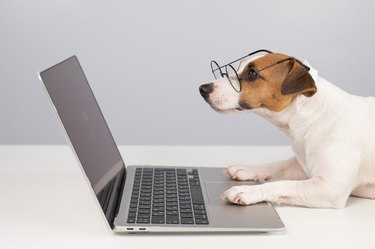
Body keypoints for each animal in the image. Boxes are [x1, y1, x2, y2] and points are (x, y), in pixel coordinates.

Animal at [200, 50, 375, 208]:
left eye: (252, 73)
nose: (203, 88)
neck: (313, 116)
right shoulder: (302, 165)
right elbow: (279, 165)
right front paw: (248, 169)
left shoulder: (330, 187)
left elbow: (283, 184)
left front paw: (249, 191)